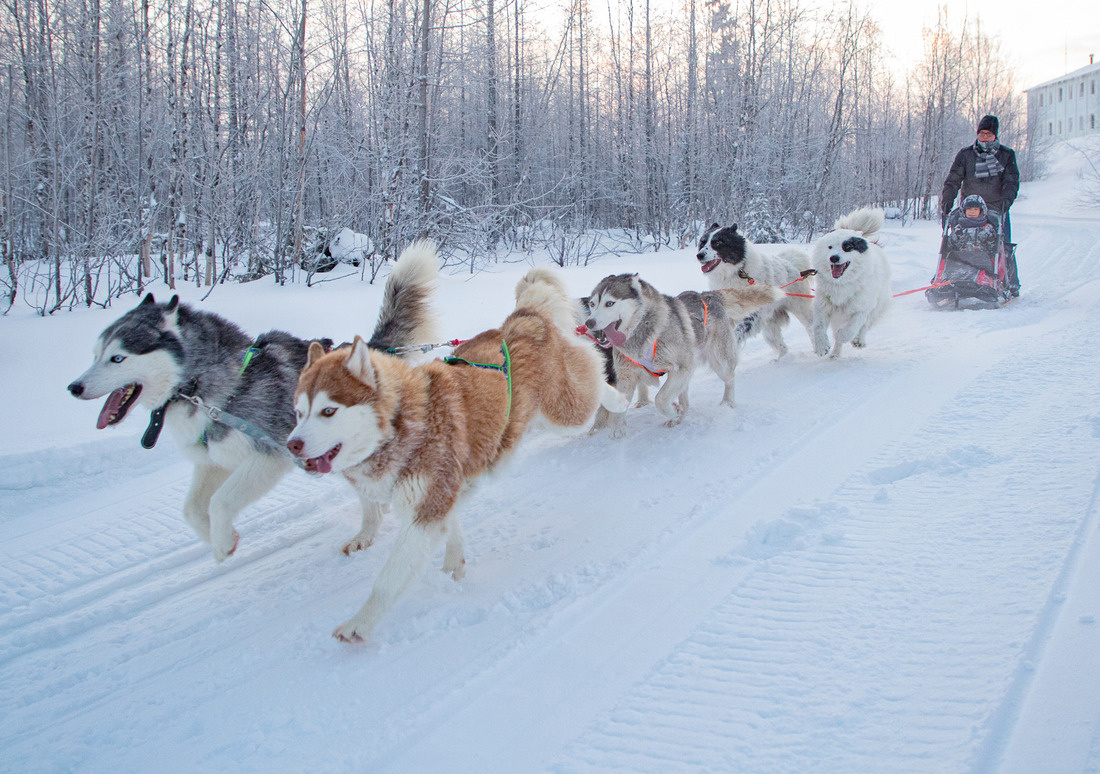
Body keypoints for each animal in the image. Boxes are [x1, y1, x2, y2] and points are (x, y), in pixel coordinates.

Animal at [66, 241, 435, 562]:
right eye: (96, 354)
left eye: (117, 358)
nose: (74, 387)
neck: (212, 387)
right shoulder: (214, 460)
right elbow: (193, 509)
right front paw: (218, 539)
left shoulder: (267, 456)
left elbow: (220, 502)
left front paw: (222, 540)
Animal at [288, 262, 624, 637]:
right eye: (299, 412)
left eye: (328, 411)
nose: (292, 444)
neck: (406, 422)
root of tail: (522, 318)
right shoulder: (441, 494)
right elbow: (452, 529)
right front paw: (454, 564)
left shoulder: (425, 510)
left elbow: (388, 580)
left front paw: (358, 624)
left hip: (565, 413)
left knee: (595, 376)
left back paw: (620, 401)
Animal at [585, 273, 783, 435]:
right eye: (592, 304)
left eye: (609, 303)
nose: (589, 322)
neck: (644, 333)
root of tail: (709, 295)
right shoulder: (627, 377)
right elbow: (619, 405)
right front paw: (618, 429)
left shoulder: (682, 367)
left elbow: (660, 399)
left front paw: (672, 411)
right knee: (685, 400)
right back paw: (679, 417)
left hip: (720, 363)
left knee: (729, 379)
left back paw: (727, 402)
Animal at [695, 222, 818, 358]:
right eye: (702, 242)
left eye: (717, 242)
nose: (699, 255)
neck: (736, 272)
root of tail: (791, 265)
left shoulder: (753, 315)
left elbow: (737, 334)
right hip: (769, 328)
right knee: (783, 347)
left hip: (801, 310)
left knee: (811, 328)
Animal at [809, 208, 893, 360]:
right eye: (830, 247)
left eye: (847, 247)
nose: (834, 257)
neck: (841, 285)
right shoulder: (823, 305)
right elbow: (818, 327)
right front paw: (821, 346)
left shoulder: (862, 307)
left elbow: (852, 328)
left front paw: (843, 336)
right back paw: (835, 354)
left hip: (877, 305)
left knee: (864, 325)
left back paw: (859, 340)